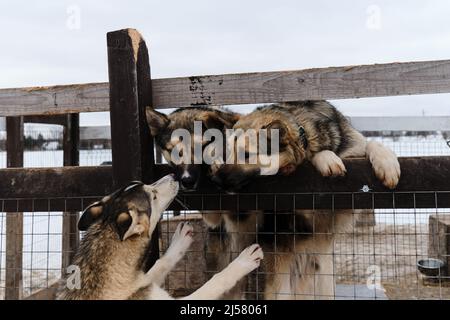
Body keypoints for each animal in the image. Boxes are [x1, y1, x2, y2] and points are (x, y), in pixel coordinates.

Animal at [55, 174, 264, 298]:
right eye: (153, 196)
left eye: (143, 184)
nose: (173, 176)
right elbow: (216, 281)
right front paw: (243, 261)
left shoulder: (144, 281)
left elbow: (160, 262)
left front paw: (180, 240)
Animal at [209, 100, 402, 300]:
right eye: (228, 153)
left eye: (246, 154)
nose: (215, 181)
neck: (305, 133)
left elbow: (371, 143)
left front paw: (387, 164)